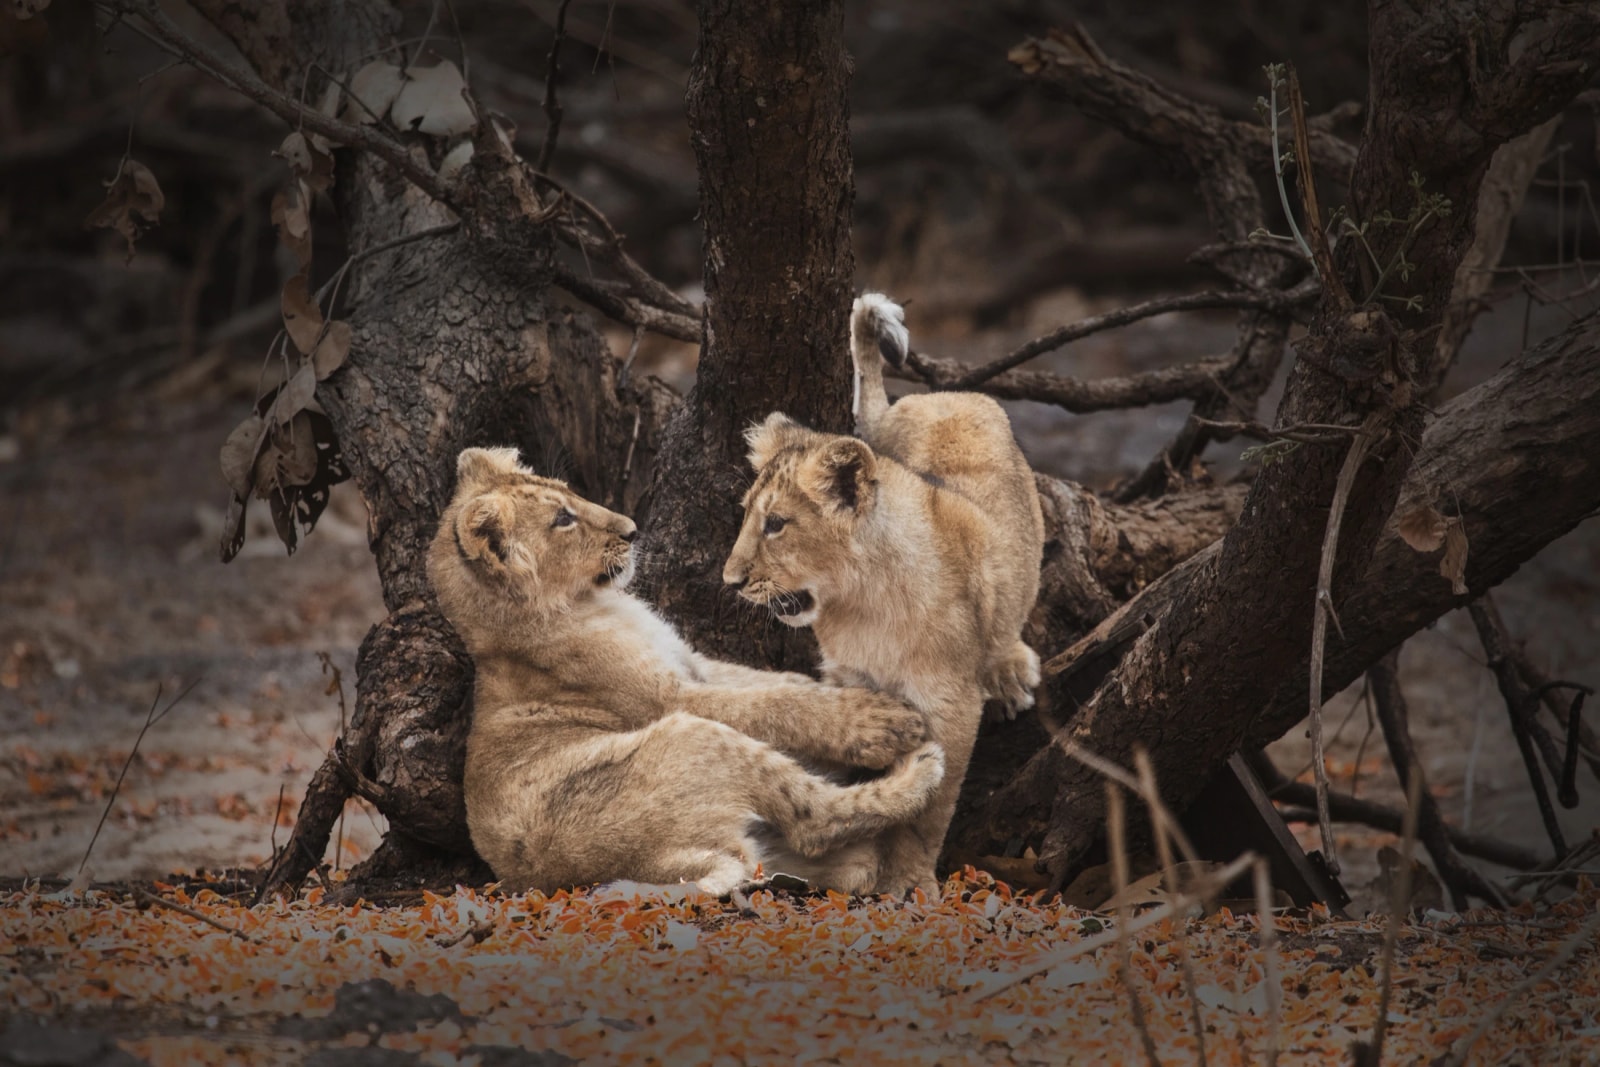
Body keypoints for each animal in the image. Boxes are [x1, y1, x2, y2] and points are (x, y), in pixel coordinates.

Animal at [427, 446, 946, 896]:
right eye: (562, 519)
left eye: (569, 494)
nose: (632, 530)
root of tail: (657, 866)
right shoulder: (671, 698)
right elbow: (773, 704)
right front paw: (881, 721)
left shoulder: (691, 661)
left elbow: (777, 683)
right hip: (692, 737)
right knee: (814, 821)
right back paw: (919, 771)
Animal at [722, 293, 1045, 894]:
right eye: (748, 516)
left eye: (776, 524)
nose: (730, 580)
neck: (860, 606)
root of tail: (937, 395)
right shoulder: (852, 680)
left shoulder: (949, 703)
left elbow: (929, 813)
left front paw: (909, 882)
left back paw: (1010, 673)